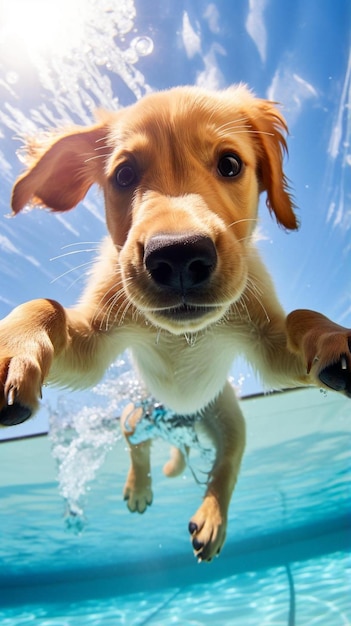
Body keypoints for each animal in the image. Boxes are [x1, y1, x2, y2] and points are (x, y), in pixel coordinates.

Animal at [0, 85, 351, 560]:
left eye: (230, 164)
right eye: (124, 175)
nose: (179, 256)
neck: (182, 336)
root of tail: (183, 420)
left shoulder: (270, 347)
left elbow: (301, 316)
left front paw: (336, 338)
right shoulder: (93, 345)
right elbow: (45, 305)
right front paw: (12, 352)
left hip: (229, 415)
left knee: (228, 461)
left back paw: (212, 517)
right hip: (137, 414)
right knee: (137, 445)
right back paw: (139, 489)